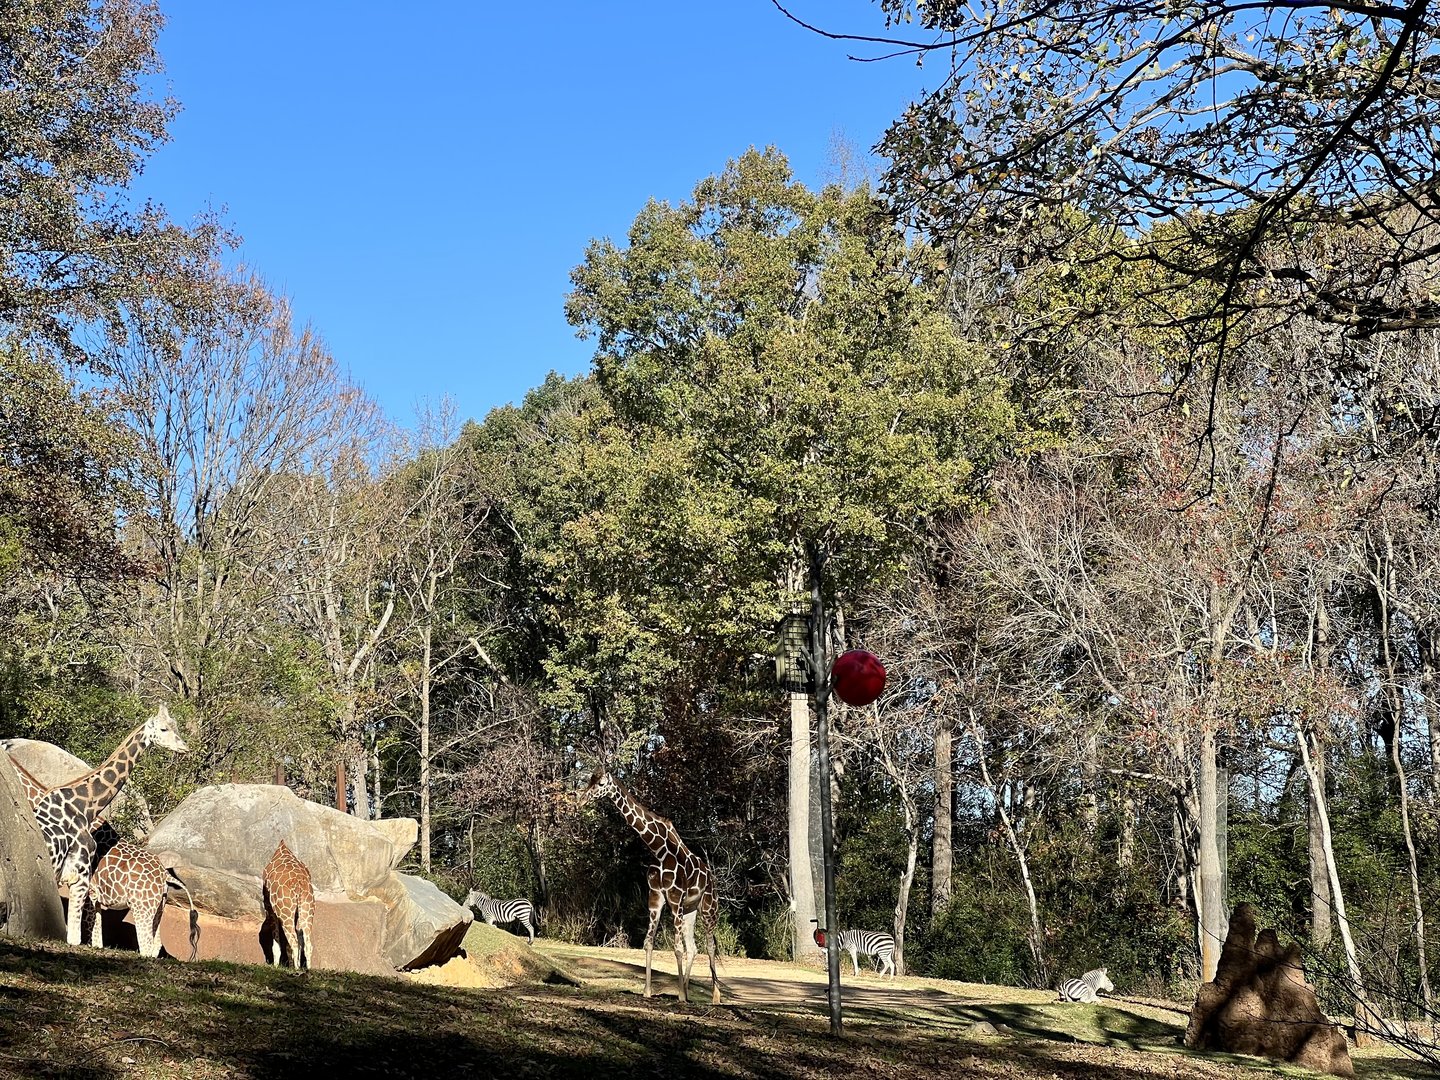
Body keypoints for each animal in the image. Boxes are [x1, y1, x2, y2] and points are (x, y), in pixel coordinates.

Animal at [29, 704, 189, 945]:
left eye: (176, 725)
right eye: (163, 729)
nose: (184, 748)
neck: (84, 807)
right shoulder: (79, 879)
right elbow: (75, 939)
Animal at [82, 823, 200, 960]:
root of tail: (165, 874)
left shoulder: (90, 890)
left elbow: (89, 920)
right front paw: (97, 946)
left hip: (142, 908)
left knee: (146, 942)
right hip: (159, 907)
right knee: (156, 940)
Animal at [261, 839, 314, 970]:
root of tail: (298, 883)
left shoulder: (269, 907)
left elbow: (276, 944)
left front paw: (276, 966)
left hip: (285, 911)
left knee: (294, 941)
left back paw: (296, 969)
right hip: (307, 907)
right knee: (307, 943)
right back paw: (307, 969)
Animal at [581, 765, 720, 1004]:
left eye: (601, 784)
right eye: (589, 779)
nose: (581, 800)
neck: (658, 850)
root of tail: (711, 877)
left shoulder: (675, 898)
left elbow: (677, 948)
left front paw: (680, 996)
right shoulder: (656, 897)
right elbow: (649, 942)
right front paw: (648, 991)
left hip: (708, 907)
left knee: (710, 946)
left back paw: (715, 997)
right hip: (690, 909)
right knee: (694, 947)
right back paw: (686, 990)